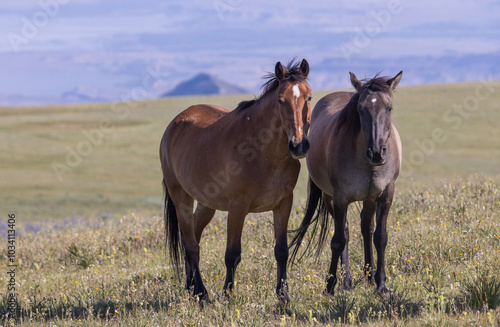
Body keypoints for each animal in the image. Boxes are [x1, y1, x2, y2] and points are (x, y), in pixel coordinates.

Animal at [160, 59, 310, 302]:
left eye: (309, 98)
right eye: (280, 100)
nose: (298, 145)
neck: (263, 153)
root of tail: (174, 124)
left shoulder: (283, 204)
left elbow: (281, 251)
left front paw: (283, 297)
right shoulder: (237, 208)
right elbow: (232, 254)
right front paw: (228, 295)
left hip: (207, 204)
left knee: (193, 236)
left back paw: (191, 287)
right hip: (181, 198)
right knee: (192, 246)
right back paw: (201, 293)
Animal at [290, 72, 402, 298]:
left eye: (389, 107)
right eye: (360, 109)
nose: (377, 153)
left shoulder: (385, 196)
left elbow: (380, 237)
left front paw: (381, 285)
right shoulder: (340, 199)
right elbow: (338, 240)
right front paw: (331, 284)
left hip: (369, 199)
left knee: (366, 228)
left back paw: (369, 275)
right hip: (329, 197)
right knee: (347, 232)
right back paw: (347, 280)